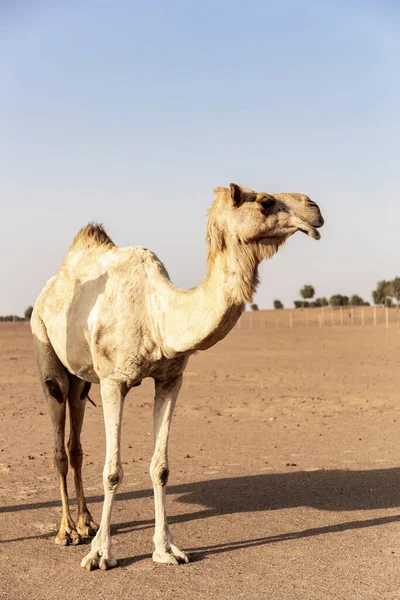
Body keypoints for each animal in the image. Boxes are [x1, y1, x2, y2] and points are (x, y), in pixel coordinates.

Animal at [31, 184, 324, 572]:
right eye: (264, 201)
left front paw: (166, 549)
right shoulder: (113, 382)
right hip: (46, 347)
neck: (158, 316)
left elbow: (161, 468)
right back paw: (67, 532)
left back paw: (86, 522)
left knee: (75, 444)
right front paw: (100, 554)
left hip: (82, 378)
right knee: (58, 435)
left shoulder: (171, 379)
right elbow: (112, 471)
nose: (315, 208)